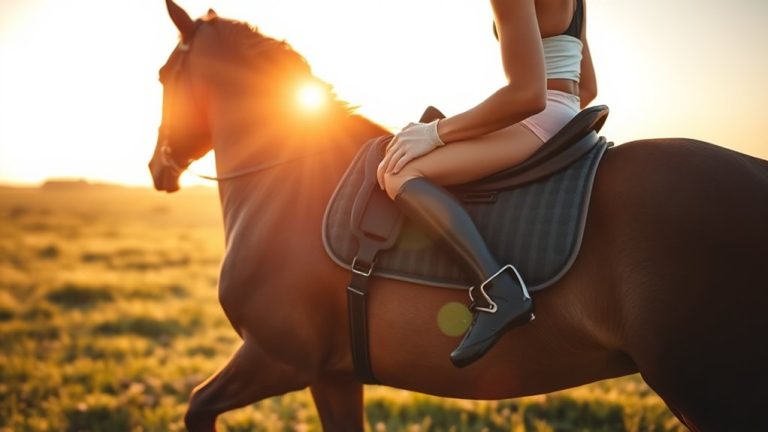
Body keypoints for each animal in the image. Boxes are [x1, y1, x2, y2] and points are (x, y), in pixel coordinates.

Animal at [148, 2, 768, 431]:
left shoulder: (278, 357)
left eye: (162, 78)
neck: (288, 176)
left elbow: (198, 406)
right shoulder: (333, 374)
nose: (157, 168)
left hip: (708, 389)